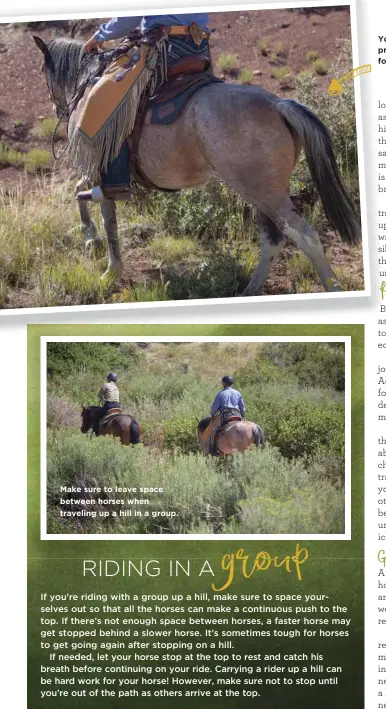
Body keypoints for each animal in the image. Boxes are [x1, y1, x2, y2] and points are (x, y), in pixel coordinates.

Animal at [33, 36, 362, 296]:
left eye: (44, 73)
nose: (57, 109)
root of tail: (279, 105)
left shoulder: (99, 174)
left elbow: (104, 216)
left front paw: (109, 267)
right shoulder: (94, 176)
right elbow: (80, 194)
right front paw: (91, 240)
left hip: (267, 194)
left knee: (305, 236)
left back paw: (331, 288)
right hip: (261, 193)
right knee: (273, 239)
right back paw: (250, 290)